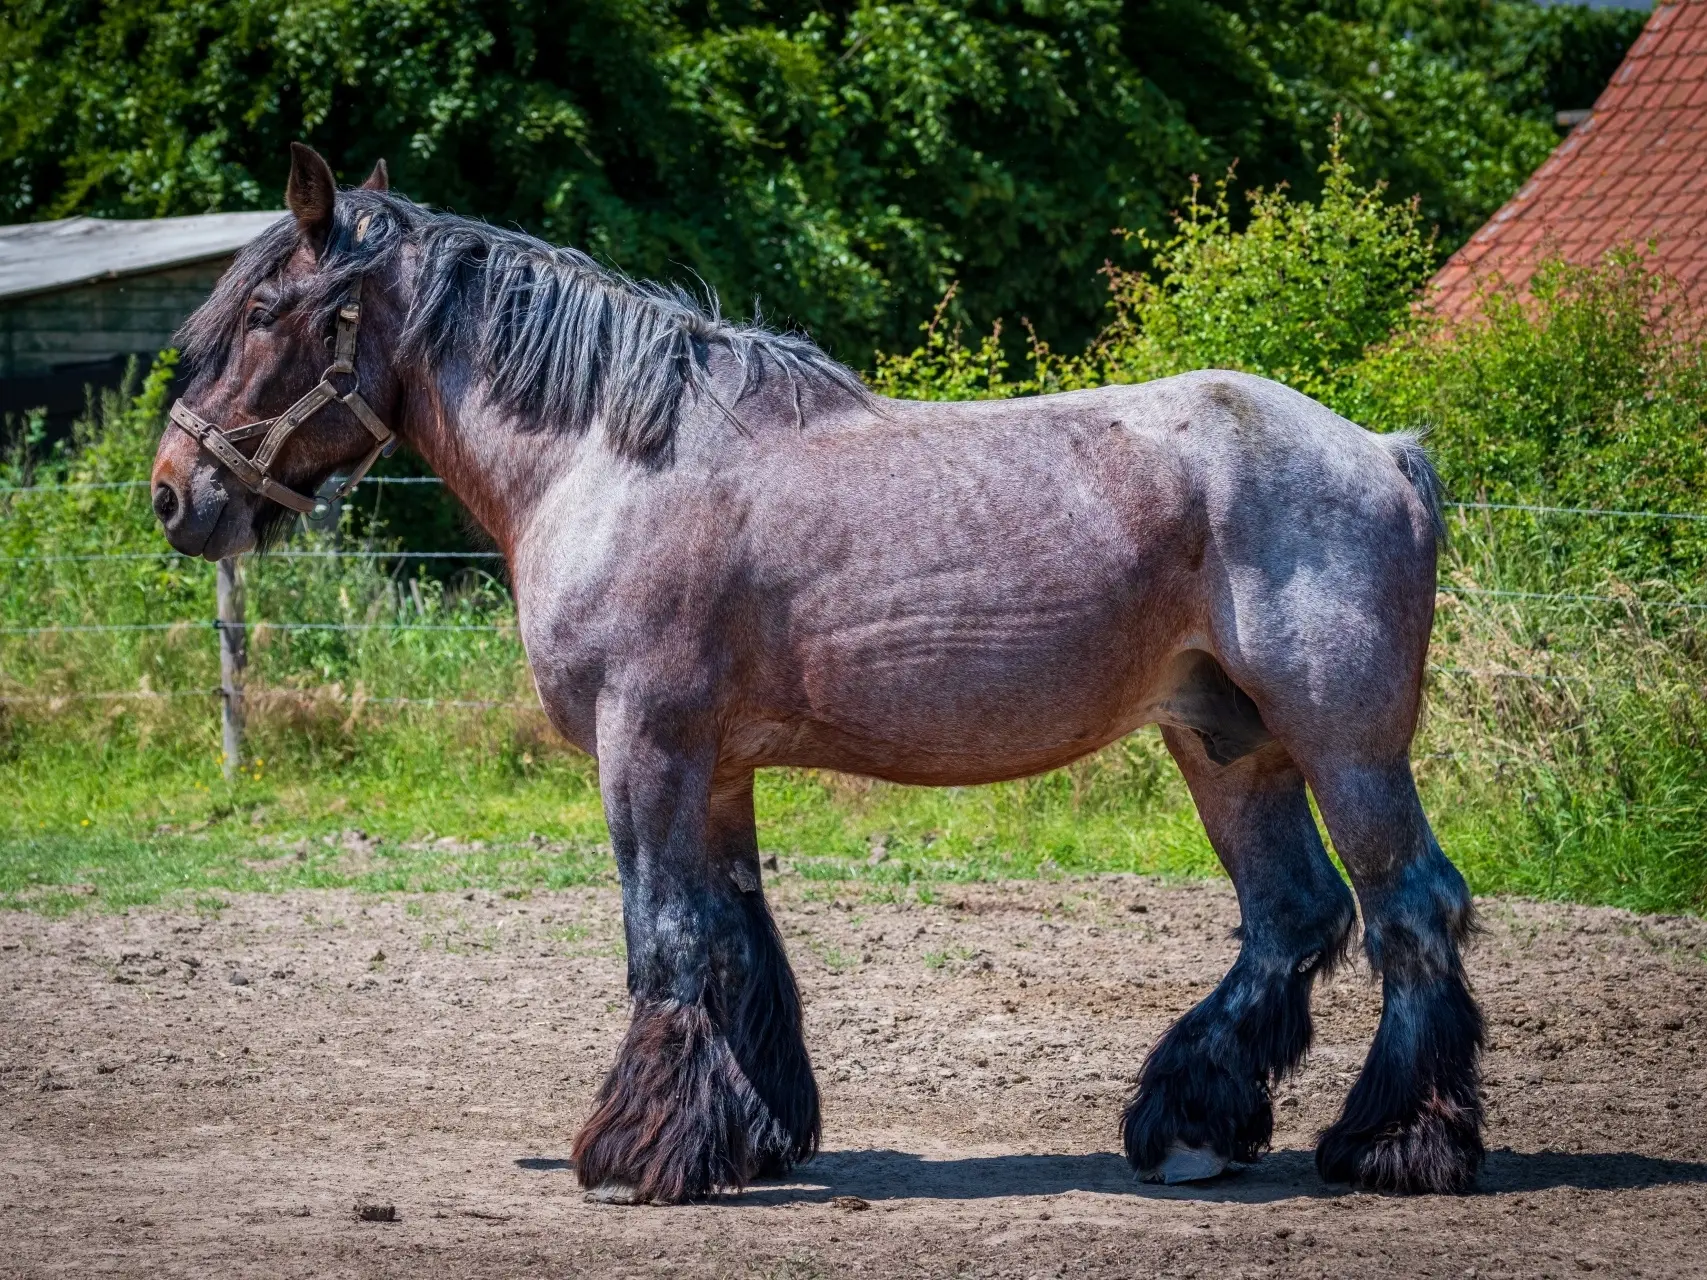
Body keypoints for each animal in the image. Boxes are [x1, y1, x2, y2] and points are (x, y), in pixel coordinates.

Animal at [150, 145, 1481, 1208]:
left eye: (264, 306)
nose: (175, 492)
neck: (613, 461)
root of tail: (1385, 452)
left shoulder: (645, 747)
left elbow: (666, 939)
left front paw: (636, 1154)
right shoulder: (714, 768)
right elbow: (739, 944)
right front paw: (747, 1134)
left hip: (1347, 747)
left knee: (1409, 908)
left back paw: (1398, 1143)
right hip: (1227, 741)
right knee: (1292, 915)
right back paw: (1193, 1124)